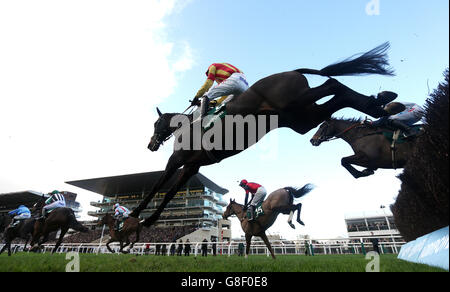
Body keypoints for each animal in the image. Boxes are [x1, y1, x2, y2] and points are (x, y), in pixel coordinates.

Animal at [131, 41, 398, 226]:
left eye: (155, 124)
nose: (151, 145)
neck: (185, 124)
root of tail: (292, 71)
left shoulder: (177, 159)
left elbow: (158, 186)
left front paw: (135, 214)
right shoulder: (191, 166)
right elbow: (170, 192)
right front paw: (150, 219)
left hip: (295, 103)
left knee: (332, 84)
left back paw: (381, 103)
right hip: (301, 118)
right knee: (336, 93)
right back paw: (379, 104)